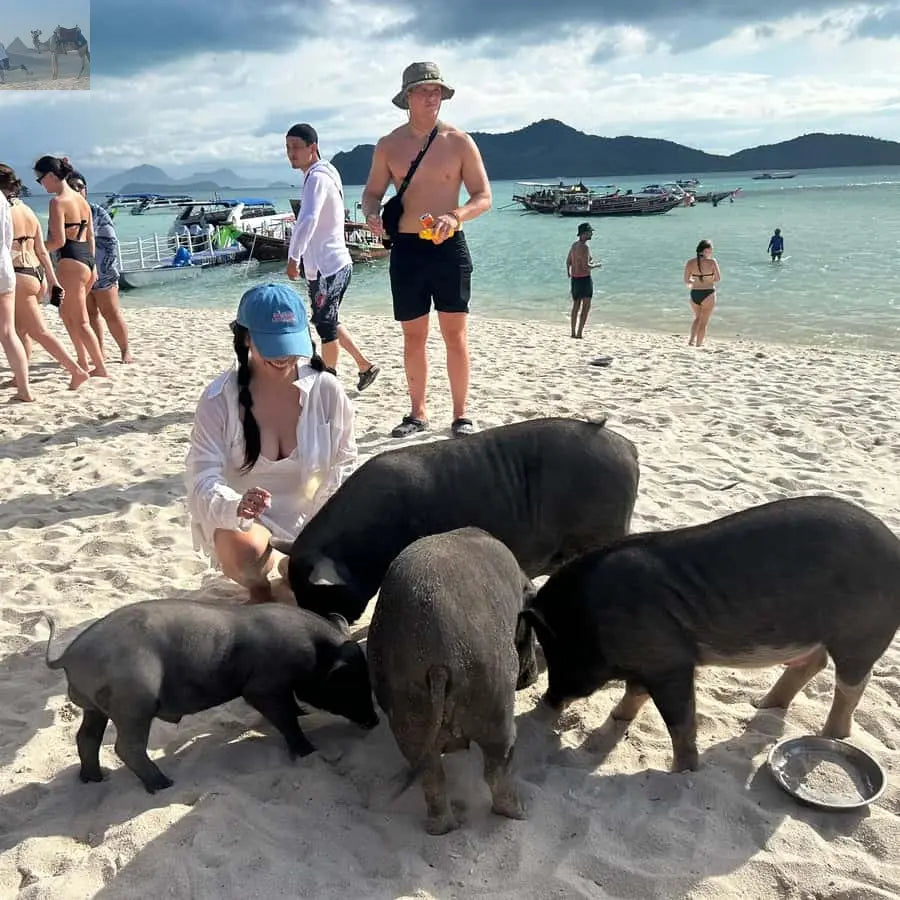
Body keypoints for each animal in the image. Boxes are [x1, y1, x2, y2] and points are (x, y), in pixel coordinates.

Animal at [43, 599, 379, 792]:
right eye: (351, 684)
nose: (374, 721)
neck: (313, 654)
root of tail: (68, 656)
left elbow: (292, 711)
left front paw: (303, 715)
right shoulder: (263, 687)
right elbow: (286, 721)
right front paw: (309, 751)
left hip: (96, 708)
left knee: (86, 738)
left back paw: (94, 779)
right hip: (134, 704)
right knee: (125, 747)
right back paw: (163, 784)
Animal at [368, 528, 537, 834]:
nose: (532, 678)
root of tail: (436, 657)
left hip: (406, 701)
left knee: (429, 771)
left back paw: (442, 829)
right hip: (491, 689)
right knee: (497, 759)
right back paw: (519, 813)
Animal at [519, 496, 900, 773]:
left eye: (560, 654)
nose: (547, 702)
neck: (591, 619)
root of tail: (894, 545)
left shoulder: (669, 662)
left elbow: (680, 721)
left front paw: (682, 772)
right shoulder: (649, 661)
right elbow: (634, 694)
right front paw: (613, 722)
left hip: (861, 636)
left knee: (851, 685)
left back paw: (831, 735)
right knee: (813, 663)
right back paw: (763, 705)